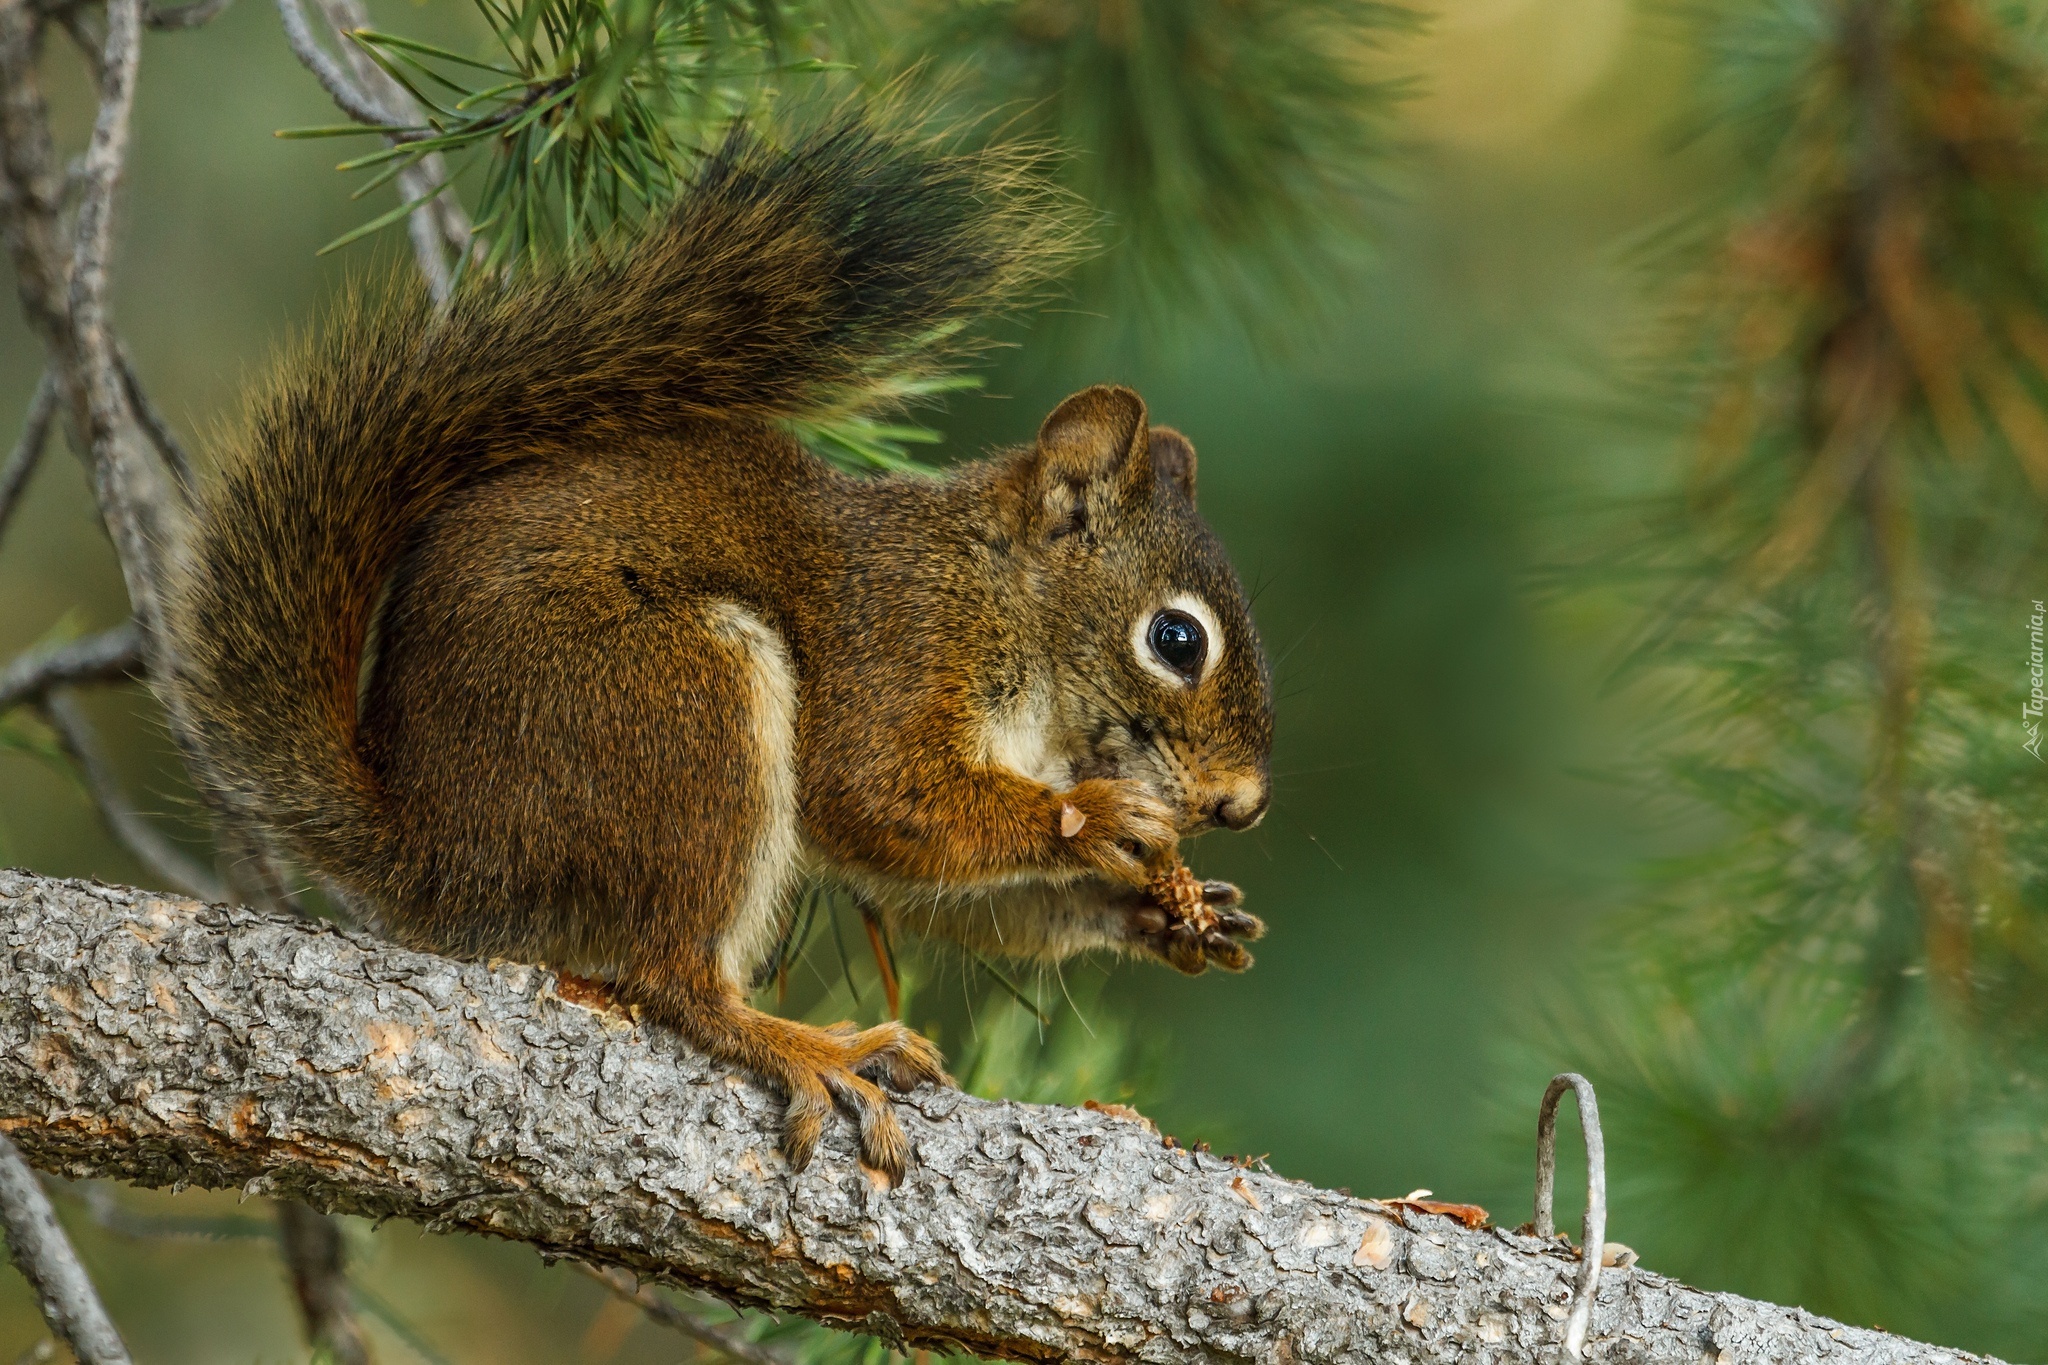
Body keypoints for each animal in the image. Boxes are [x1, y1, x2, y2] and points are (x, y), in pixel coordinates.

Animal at [163, 120, 1277, 1186]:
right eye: (1175, 638)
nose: (1242, 805)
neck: (1008, 609)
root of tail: (439, 846)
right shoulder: (898, 645)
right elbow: (878, 796)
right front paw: (1097, 818)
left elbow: (941, 888)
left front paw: (1172, 913)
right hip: (677, 703)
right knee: (673, 977)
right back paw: (812, 1048)